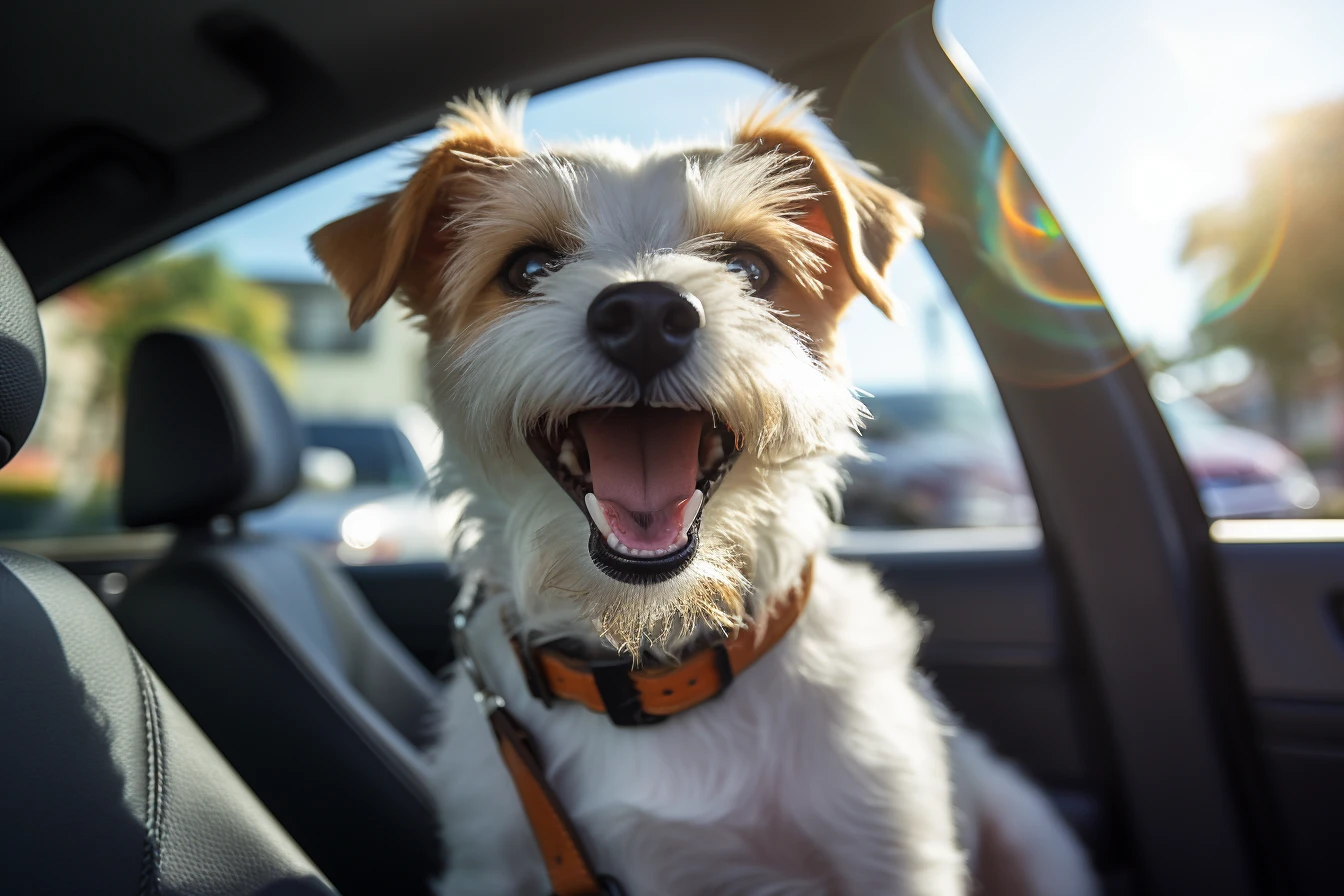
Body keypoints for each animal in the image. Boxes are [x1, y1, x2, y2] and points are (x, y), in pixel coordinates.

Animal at [309, 91, 1096, 896]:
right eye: (528, 267)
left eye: (749, 266)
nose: (645, 315)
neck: (653, 664)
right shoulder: (490, 864)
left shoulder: (892, 853)